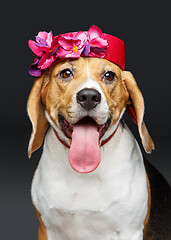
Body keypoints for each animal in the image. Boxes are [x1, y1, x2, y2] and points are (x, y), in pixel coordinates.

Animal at [27, 26, 170, 240]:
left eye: (109, 75)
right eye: (66, 73)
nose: (88, 96)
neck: (82, 172)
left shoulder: (129, 231)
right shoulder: (46, 229)